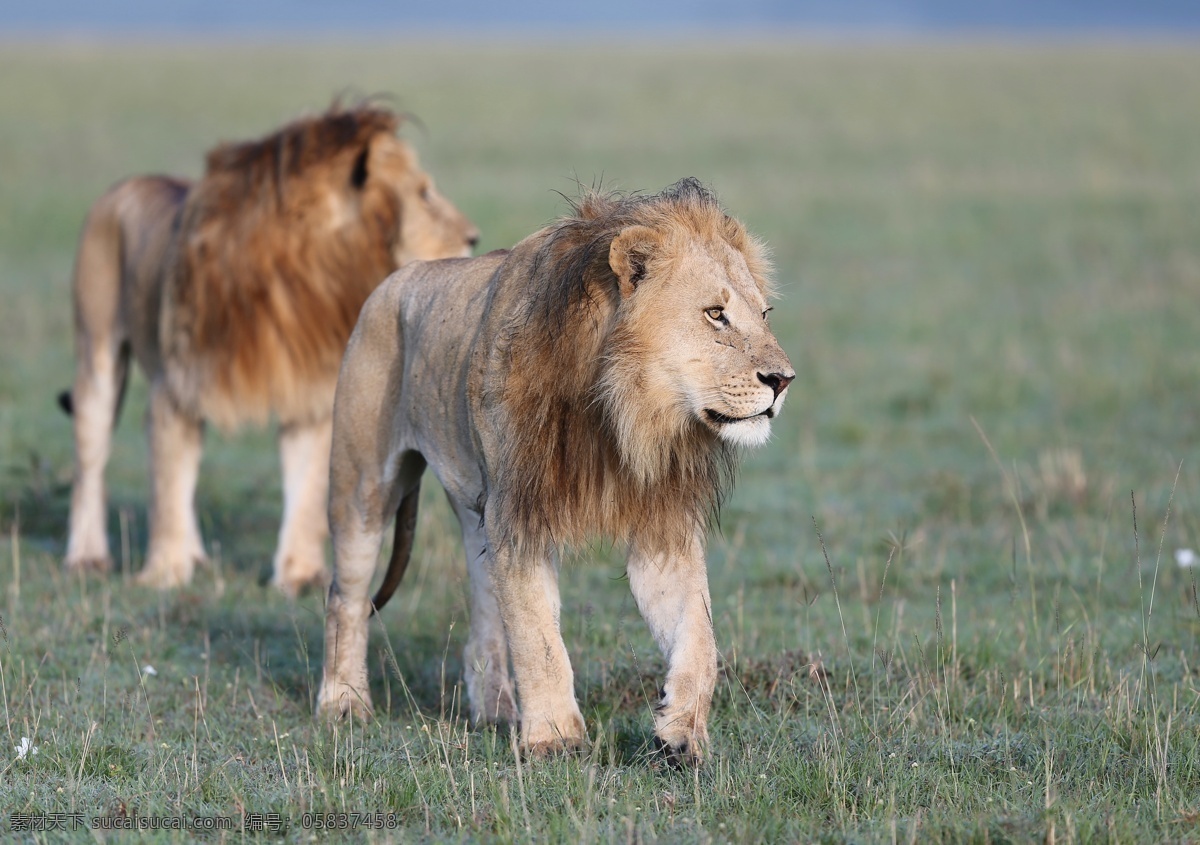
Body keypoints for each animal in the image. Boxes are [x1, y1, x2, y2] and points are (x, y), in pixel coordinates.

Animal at [60, 103, 480, 595]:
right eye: (424, 193)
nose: (473, 236)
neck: (308, 271)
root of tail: (130, 182)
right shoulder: (176, 391)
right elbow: (167, 487)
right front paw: (163, 573)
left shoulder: (307, 398)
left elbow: (304, 492)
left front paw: (298, 574)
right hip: (96, 356)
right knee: (90, 463)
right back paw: (87, 557)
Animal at [316, 175, 796, 763]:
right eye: (715, 314)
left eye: (765, 314)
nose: (783, 380)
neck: (624, 412)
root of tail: (393, 281)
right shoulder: (520, 517)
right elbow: (538, 638)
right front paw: (554, 739)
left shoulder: (661, 526)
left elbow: (700, 638)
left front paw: (680, 730)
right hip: (363, 487)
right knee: (345, 597)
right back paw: (344, 704)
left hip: (478, 513)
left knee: (484, 616)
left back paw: (496, 710)